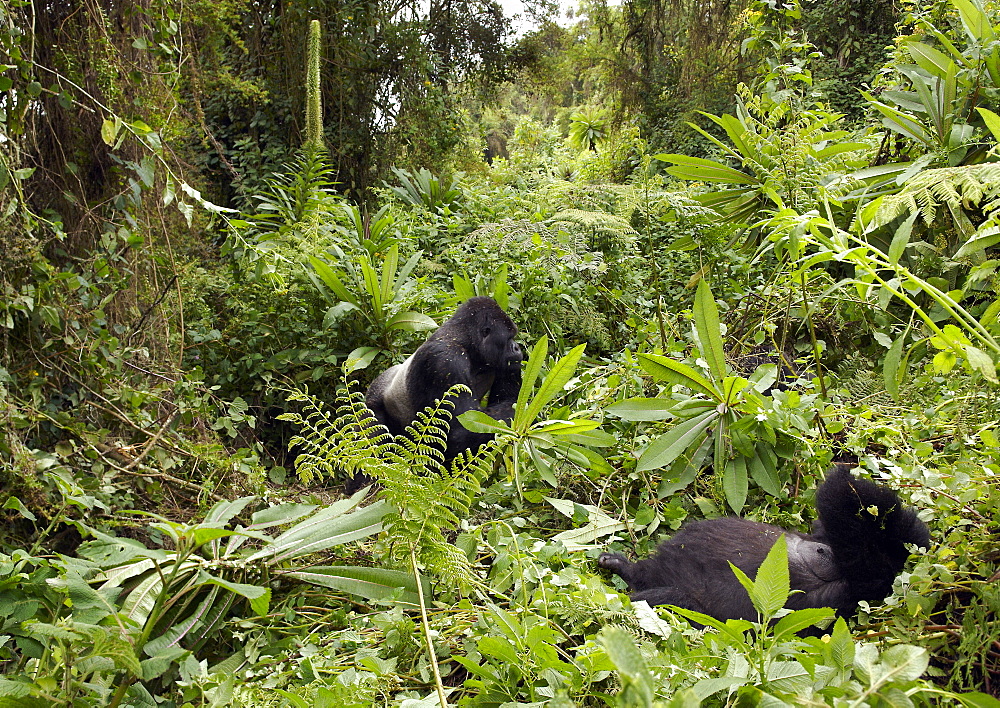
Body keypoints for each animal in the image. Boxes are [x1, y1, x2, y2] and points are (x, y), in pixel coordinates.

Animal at [366, 296, 524, 462]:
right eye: (509, 337)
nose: (517, 348)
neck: (465, 342)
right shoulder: (446, 361)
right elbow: (460, 432)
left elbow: (506, 399)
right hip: (373, 404)